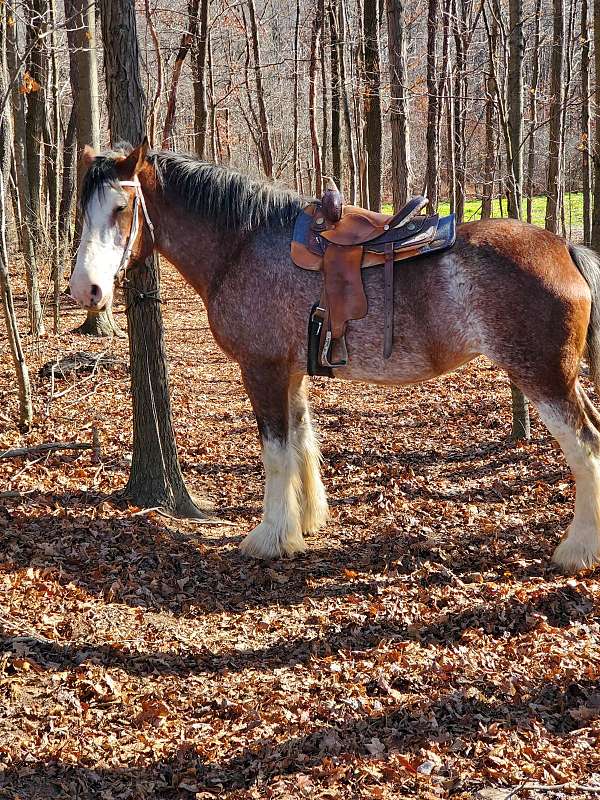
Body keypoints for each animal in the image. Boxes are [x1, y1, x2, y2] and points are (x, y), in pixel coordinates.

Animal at [71, 141, 600, 572]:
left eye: (122, 207)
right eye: (81, 210)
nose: (85, 290)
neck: (241, 245)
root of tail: (565, 248)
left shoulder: (262, 370)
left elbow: (276, 452)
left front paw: (270, 538)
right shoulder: (291, 372)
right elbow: (302, 440)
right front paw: (304, 522)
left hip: (544, 379)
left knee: (585, 446)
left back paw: (578, 549)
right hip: (565, 378)